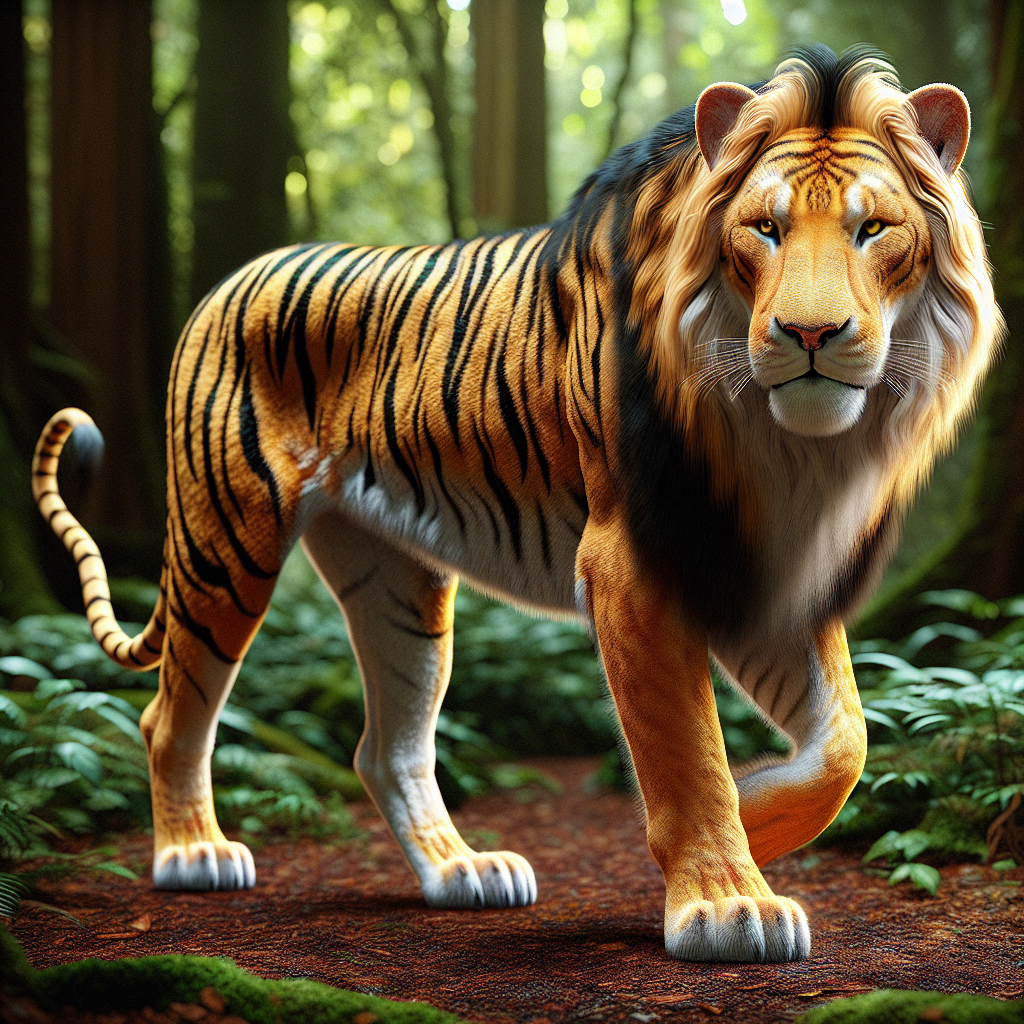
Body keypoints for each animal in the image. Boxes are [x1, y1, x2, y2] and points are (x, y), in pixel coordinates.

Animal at [33, 45, 1001, 963]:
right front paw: (727, 900)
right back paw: (192, 853)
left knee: (386, 746)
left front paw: (757, 811)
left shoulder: (762, 563)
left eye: (871, 229)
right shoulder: (634, 562)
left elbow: (845, 740)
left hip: (398, 587)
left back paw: (462, 870)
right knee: (170, 714)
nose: (808, 335)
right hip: (225, 539)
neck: (787, 445)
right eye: (764, 230)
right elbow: (688, 748)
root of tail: (228, 283)